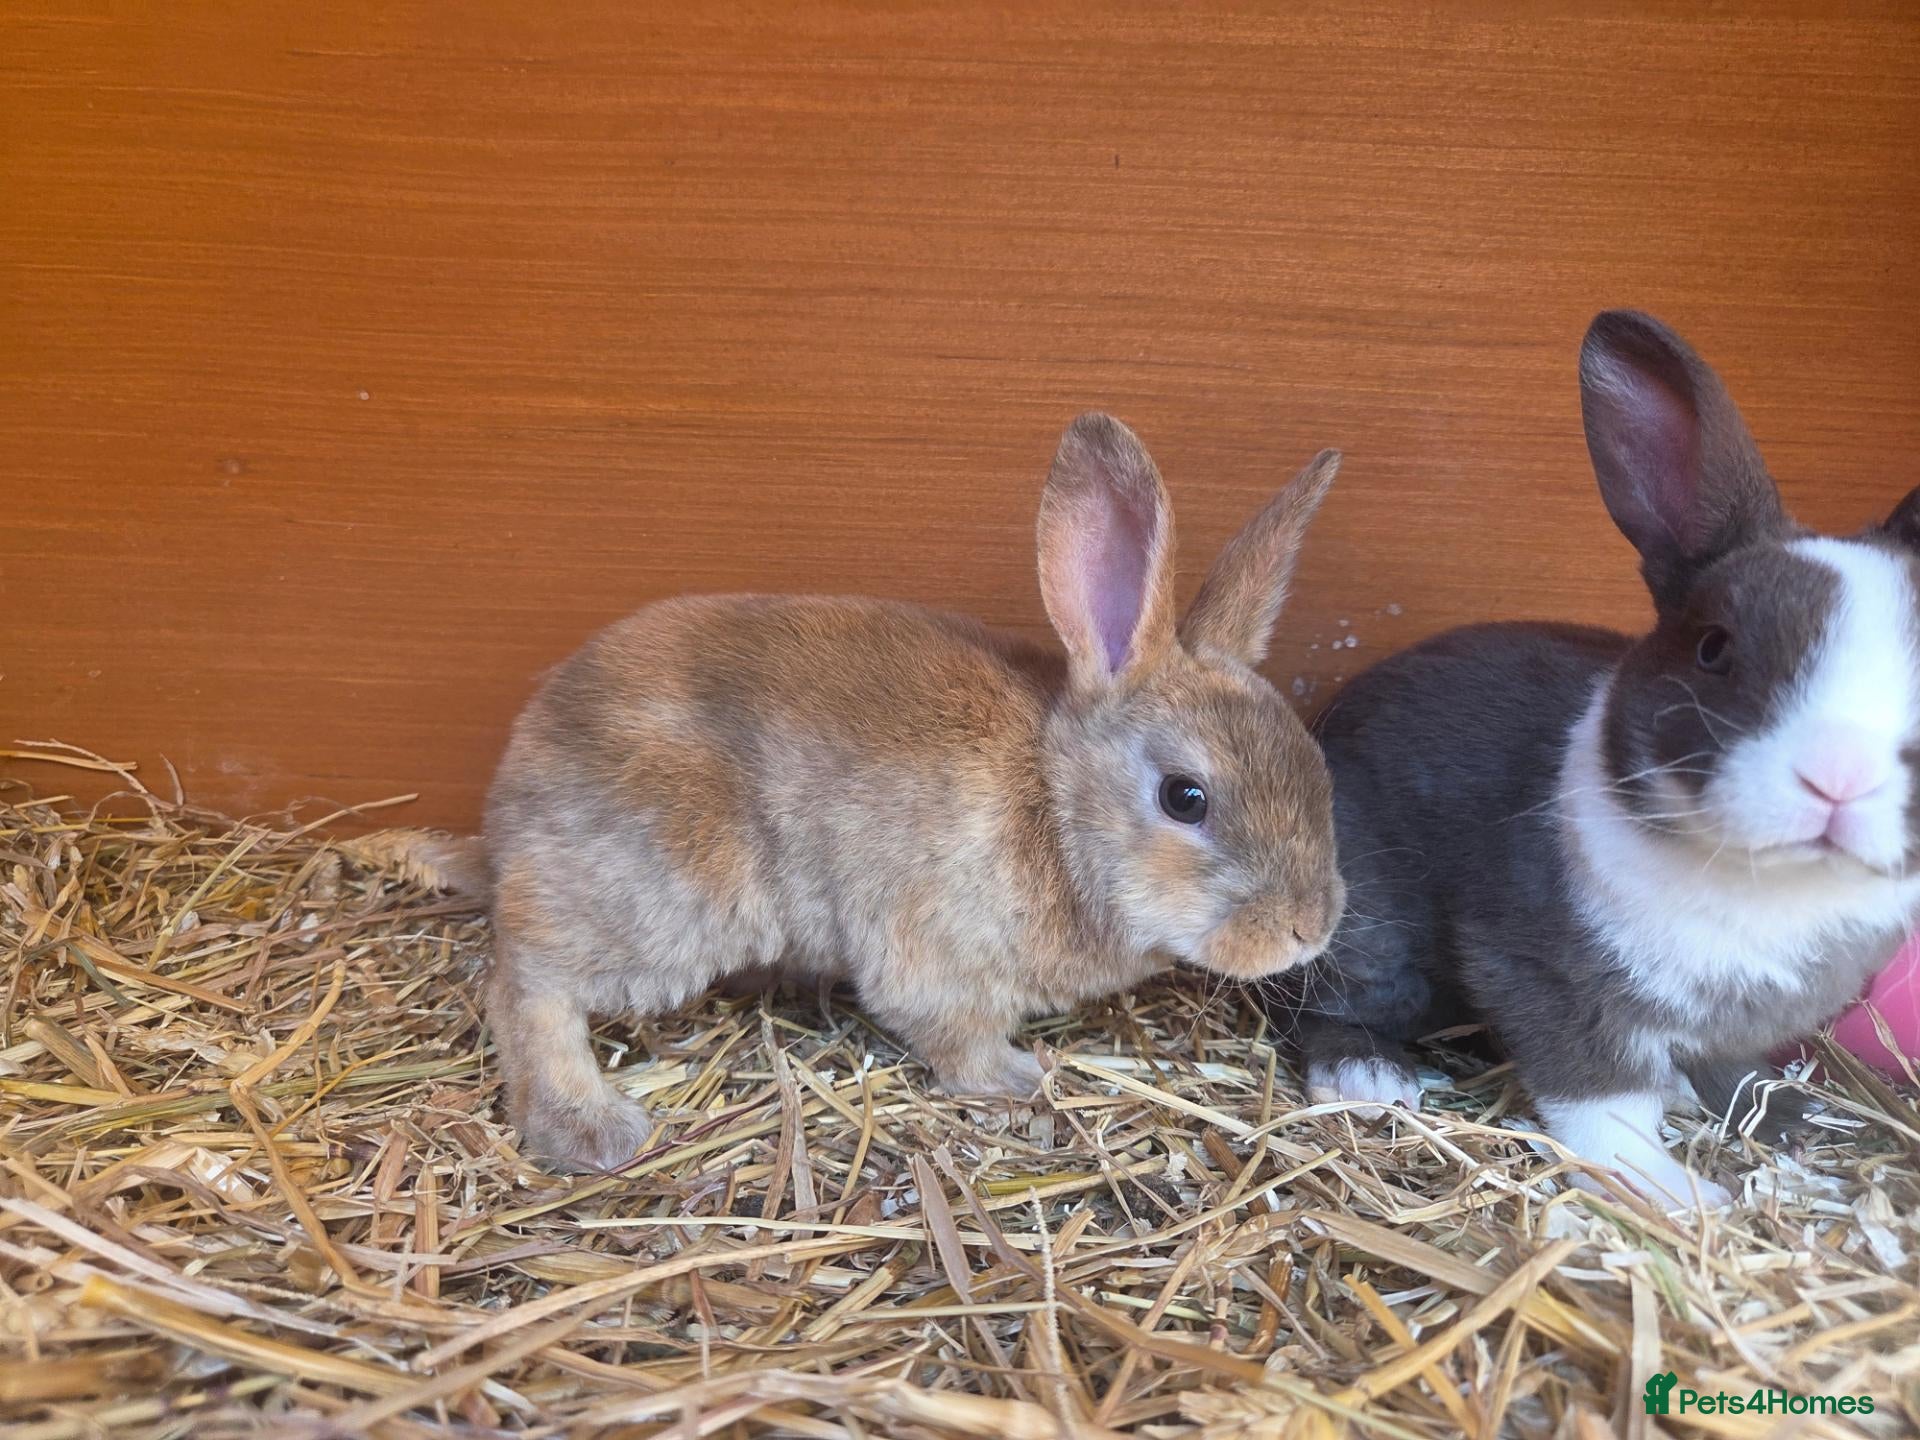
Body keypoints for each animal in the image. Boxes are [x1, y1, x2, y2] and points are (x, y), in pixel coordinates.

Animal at [480, 413, 1348, 1170]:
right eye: (1184, 798)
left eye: (1316, 762)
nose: (1309, 929)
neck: (1055, 809)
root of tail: (517, 775)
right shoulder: (934, 960)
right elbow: (953, 1038)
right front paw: (1022, 1079)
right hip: (666, 894)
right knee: (527, 977)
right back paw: (588, 1125)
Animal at [1261, 310, 1920, 1210]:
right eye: (1715, 648)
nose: (1839, 779)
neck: (1774, 888)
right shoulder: (1544, 976)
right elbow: (1602, 1101)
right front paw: (1677, 1195)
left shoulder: (1733, 1031)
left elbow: (1737, 1077)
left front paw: (1788, 1123)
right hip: (1364, 930)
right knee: (1318, 1004)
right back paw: (1370, 1075)